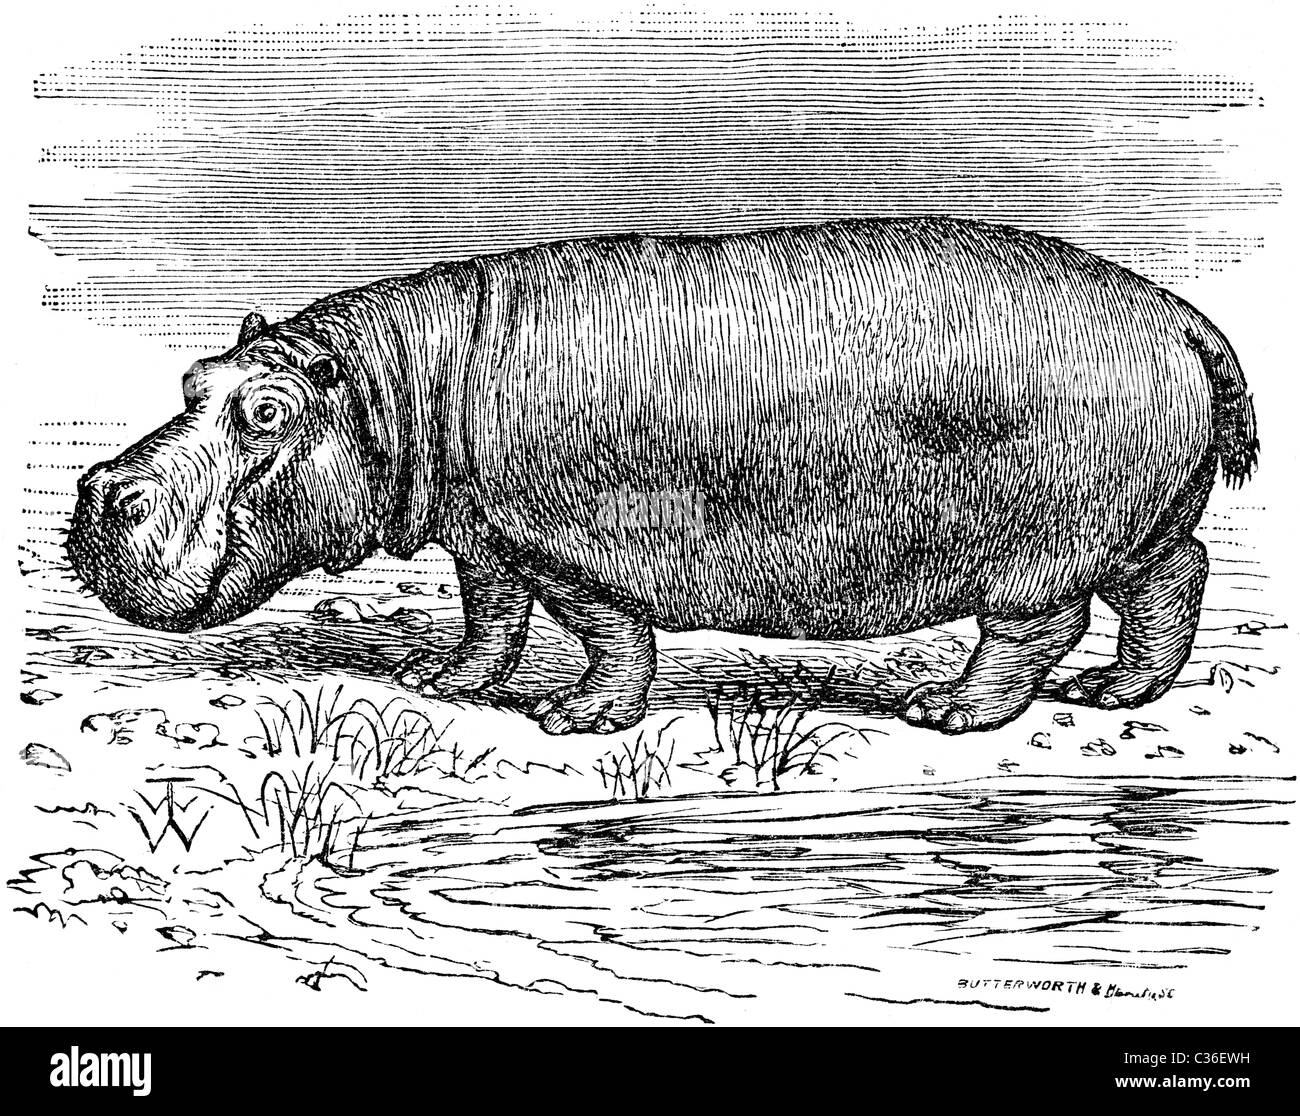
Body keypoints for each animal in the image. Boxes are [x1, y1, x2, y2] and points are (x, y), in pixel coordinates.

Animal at [67, 217, 1258, 735]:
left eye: (265, 412)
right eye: (193, 377)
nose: (98, 491)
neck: (394, 386)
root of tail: (1181, 316)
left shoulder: (563, 542)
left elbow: (604, 633)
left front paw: (575, 719)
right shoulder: (482, 530)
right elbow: (489, 612)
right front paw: (447, 685)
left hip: (1040, 543)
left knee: (1035, 626)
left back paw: (947, 712)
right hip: (1139, 522)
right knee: (1174, 576)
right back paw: (1111, 696)